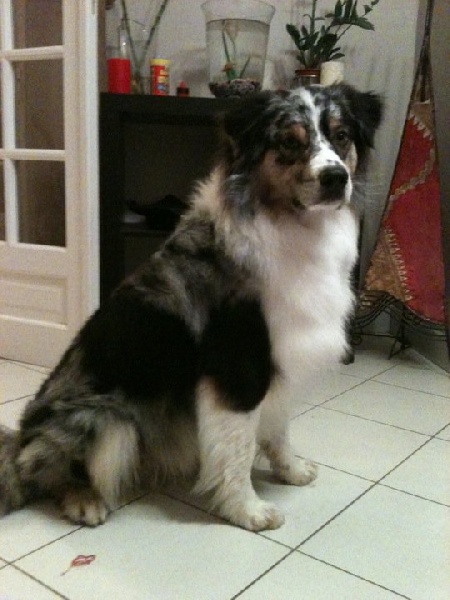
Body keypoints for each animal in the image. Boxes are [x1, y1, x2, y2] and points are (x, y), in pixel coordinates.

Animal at [0, 84, 382, 531]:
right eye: (290, 142)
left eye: (341, 136)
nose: (335, 178)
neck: (293, 223)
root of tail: (20, 438)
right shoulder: (238, 363)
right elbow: (238, 446)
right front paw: (247, 510)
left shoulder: (281, 360)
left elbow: (278, 427)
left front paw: (290, 470)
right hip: (106, 420)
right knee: (42, 469)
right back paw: (83, 500)